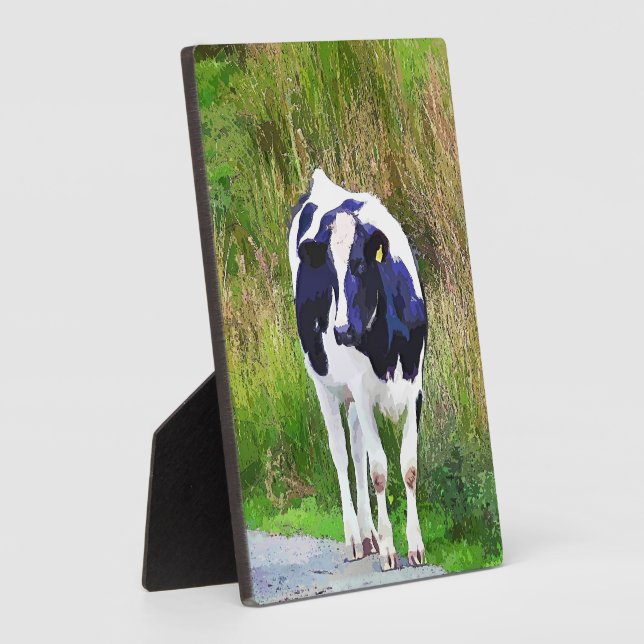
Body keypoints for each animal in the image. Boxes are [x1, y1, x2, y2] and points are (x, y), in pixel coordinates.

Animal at [288, 168, 428, 571]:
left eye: (361, 265)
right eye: (328, 272)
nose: (341, 331)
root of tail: (322, 181)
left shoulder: (415, 386)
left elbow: (408, 466)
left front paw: (415, 546)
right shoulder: (363, 393)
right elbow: (379, 469)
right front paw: (390, 549)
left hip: (352, 395)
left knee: (355, 449)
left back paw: (368, 535)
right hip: (323, 382)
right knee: (339, 451)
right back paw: (355, 538)